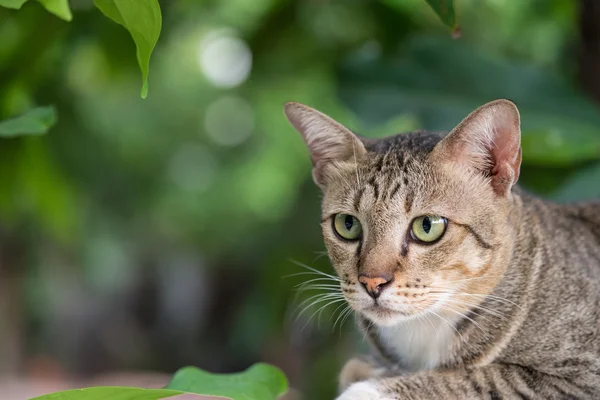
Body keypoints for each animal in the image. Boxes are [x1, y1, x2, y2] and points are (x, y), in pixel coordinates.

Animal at [284, 98, 600, 398]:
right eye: (347, 224)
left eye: (427, 226)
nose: (372, 282)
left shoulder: (583, 375)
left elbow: (486, 377)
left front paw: (369, 390)